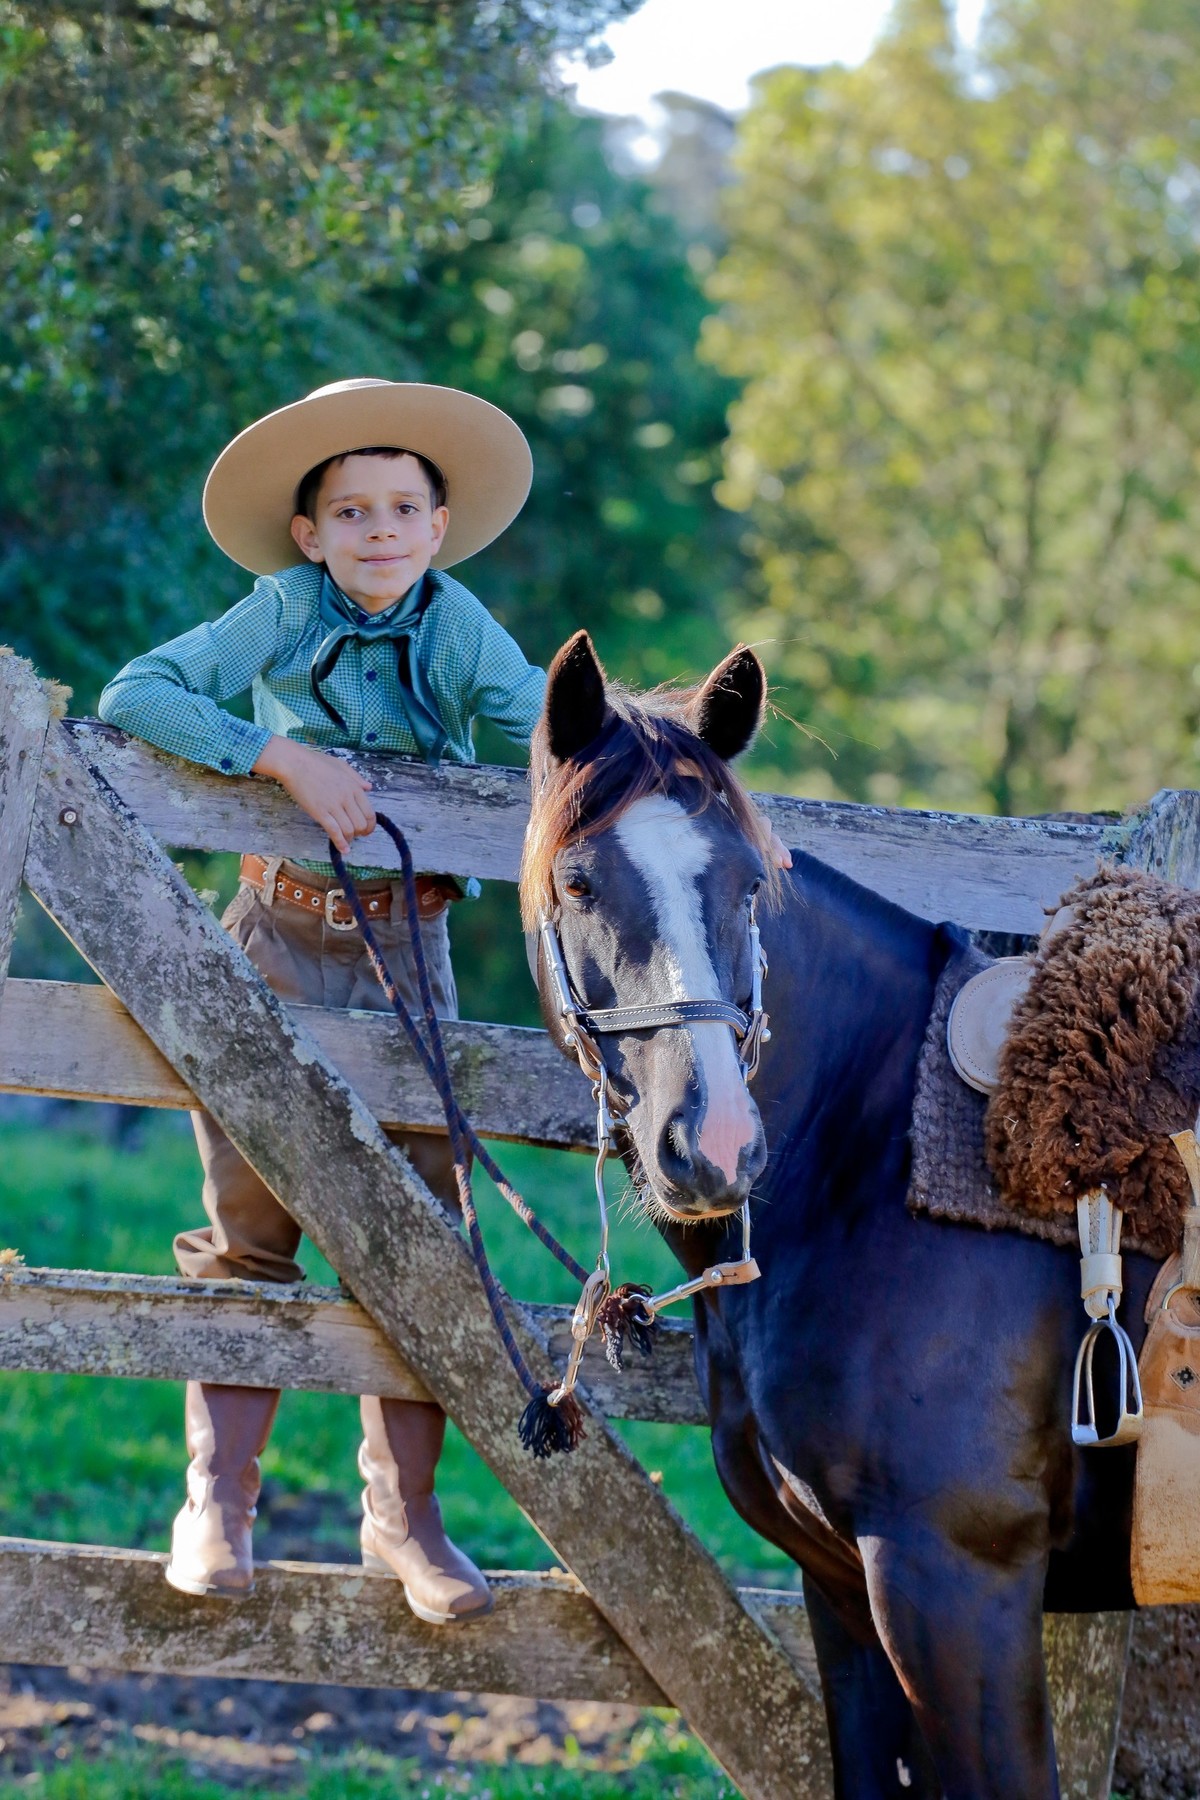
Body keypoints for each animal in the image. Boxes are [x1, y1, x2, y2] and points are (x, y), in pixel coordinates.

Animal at [521, 630, 1156, 1800]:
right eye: (578, 881)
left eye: (746, 882)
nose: (714, 1143)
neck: (872, 1149)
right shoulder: (841, 1586)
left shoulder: (957, 1582)